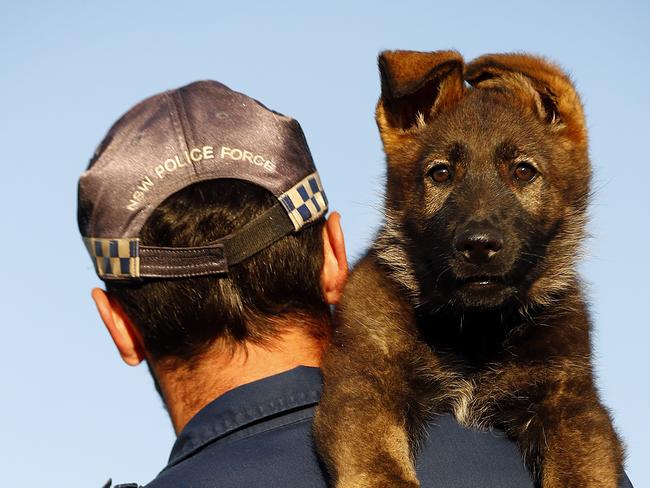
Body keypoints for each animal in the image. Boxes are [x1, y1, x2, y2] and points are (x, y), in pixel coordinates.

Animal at [312, 50, 624, 488]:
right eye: (440, 173)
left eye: (523, 171)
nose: (478, 244)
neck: (474, 332)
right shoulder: (365, 375)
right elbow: (379, 463)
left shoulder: (571, 399)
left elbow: (579, 471)